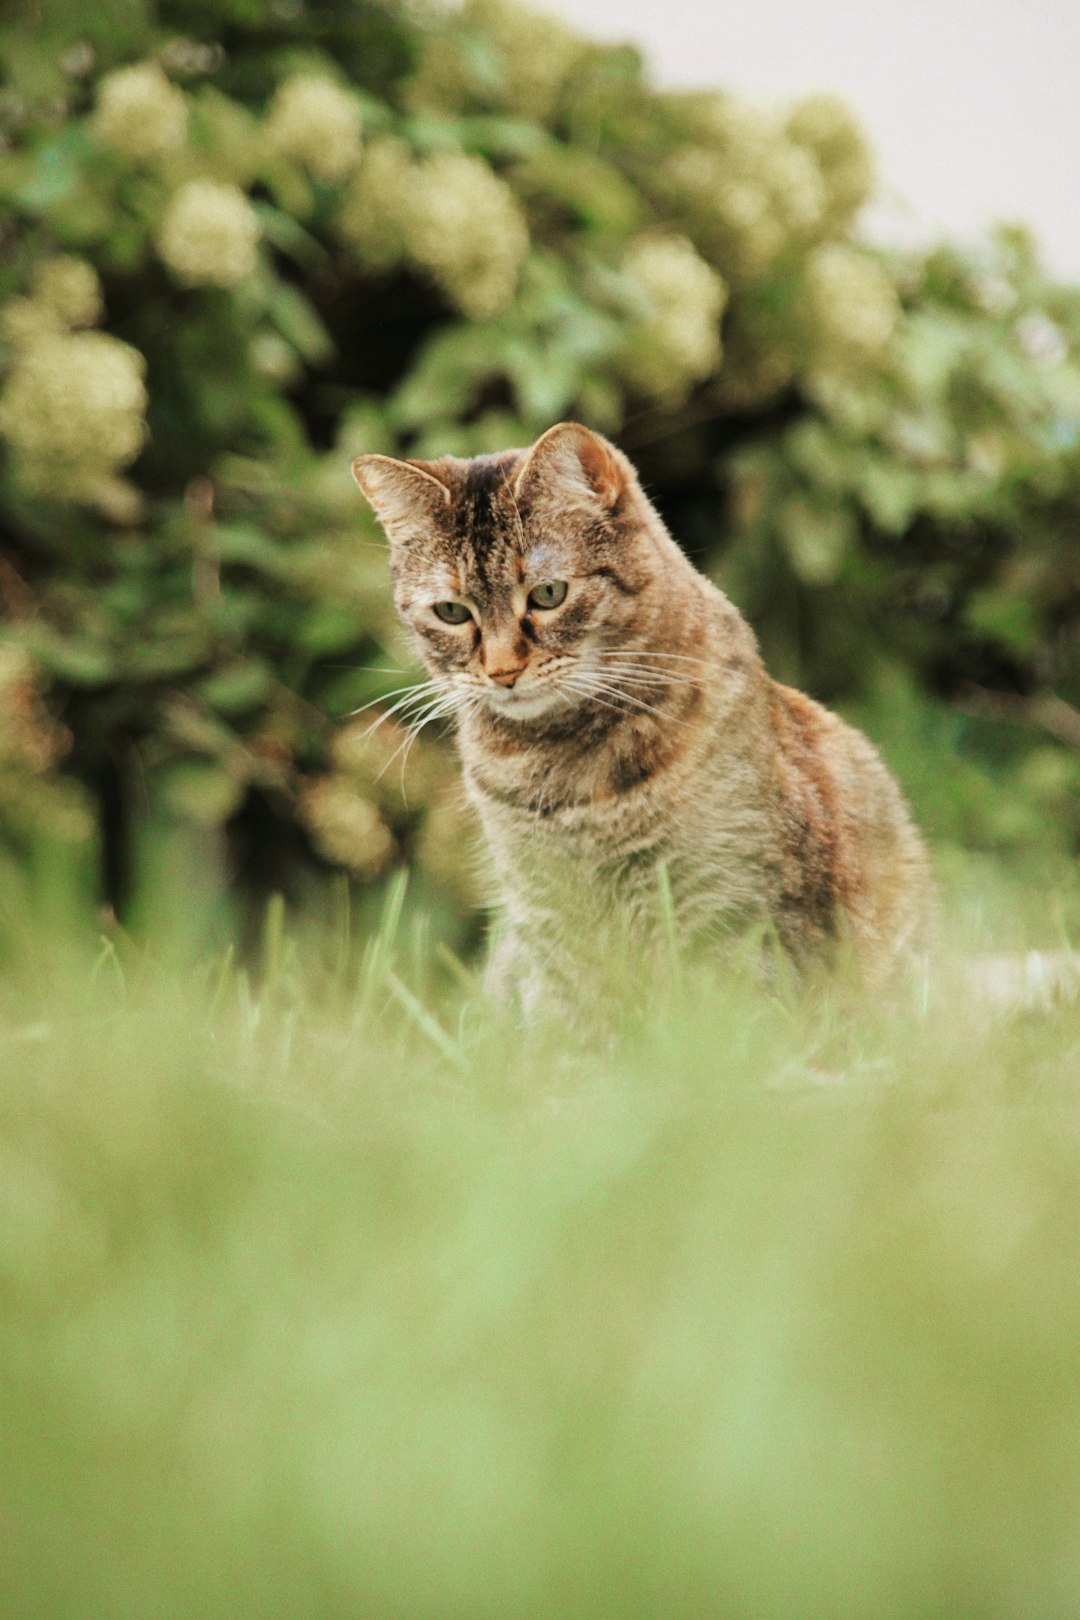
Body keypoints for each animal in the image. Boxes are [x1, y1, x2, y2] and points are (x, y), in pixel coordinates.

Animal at [352, 427, 932, 1010]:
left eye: (547, 594)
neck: (559, 767)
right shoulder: (548, 922)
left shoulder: (734, 912)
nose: (502, 672)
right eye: (451, 612)